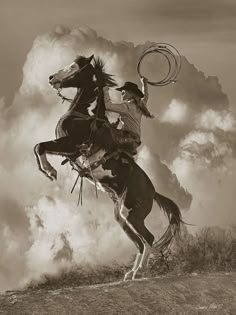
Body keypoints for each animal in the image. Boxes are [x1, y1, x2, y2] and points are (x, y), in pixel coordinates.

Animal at [33, 55, 183, 282]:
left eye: (74, 66)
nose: (51, 78)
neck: (83, 115)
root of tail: (154, 192)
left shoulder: (71, 143)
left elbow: (40, 146)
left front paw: (49, 170)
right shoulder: (67, 149)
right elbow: (39, 147)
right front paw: (47, 169)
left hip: (131, 214)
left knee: (148, 238)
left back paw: (139, 270)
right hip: (122, 219)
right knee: (140, 243)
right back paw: (131, 273)